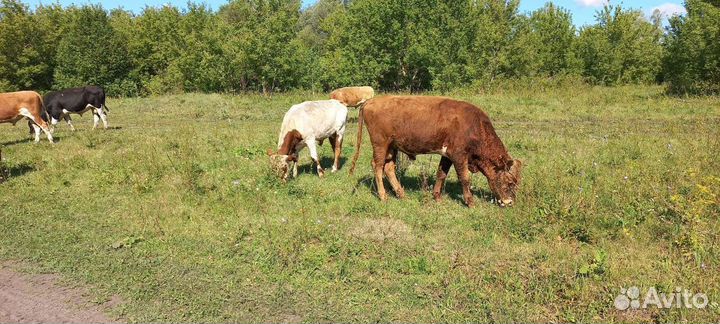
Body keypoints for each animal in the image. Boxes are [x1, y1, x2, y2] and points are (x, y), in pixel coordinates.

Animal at [348, 96, 520, 208]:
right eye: (510, 182)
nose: (510, 202)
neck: (474, 126)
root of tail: (372, 100)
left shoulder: (447, 155)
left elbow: (441, 174)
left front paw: (437, 196)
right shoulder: (459, 155)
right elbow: (465, 178)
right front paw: (470, 201)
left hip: (392, 147)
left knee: (389, 168)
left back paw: (401, 194)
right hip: (380, 144)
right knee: (377, 166)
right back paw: (383, 196)